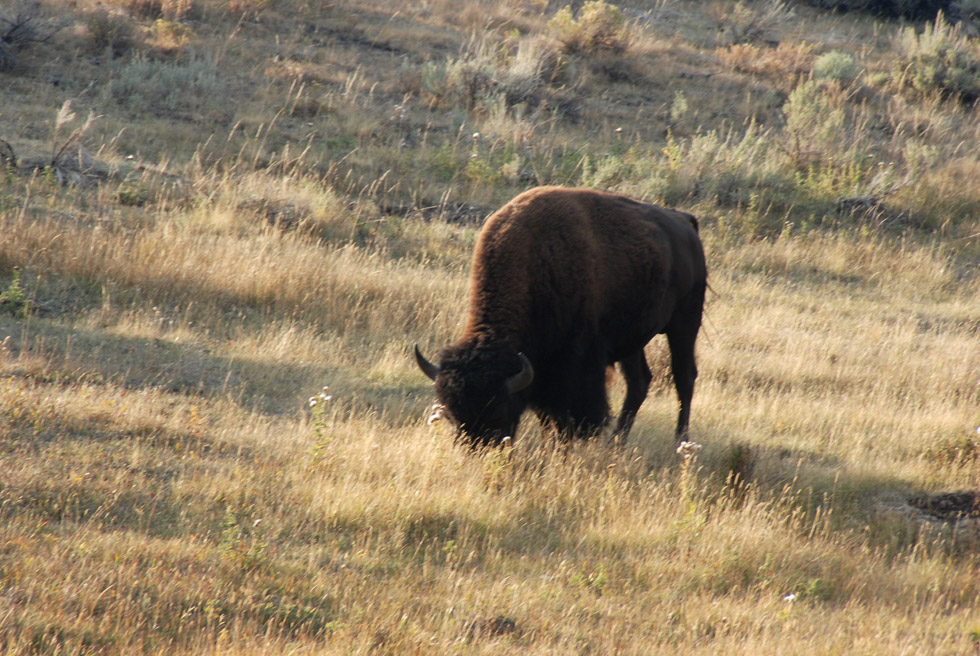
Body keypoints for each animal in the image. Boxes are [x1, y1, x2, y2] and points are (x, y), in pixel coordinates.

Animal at [414, 187, 704, 448]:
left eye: (498, 410)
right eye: (452, 415)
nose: (479, 449)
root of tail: (684, 222)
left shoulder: (577, 363)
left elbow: (570, 414)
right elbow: (548, 415)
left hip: (685, 322)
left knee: (684, 377)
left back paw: (680, 441)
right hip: (633, 340)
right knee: (639, 382)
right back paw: (617, 443)